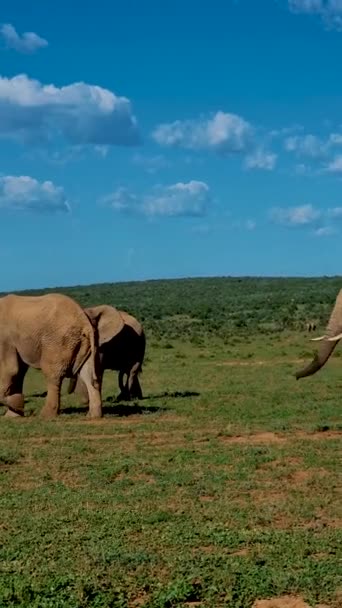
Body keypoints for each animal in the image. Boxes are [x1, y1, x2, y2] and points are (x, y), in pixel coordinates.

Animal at [0, 290, 101, 418]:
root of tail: (84, 321)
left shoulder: (5, 337)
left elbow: (11, 369)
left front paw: (18, 405)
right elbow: (19, 372)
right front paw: (13, 414)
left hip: (58, 340)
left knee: (52, 374)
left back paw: (45, 415)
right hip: (86, 342)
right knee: (88, 374)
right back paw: (93, 416)